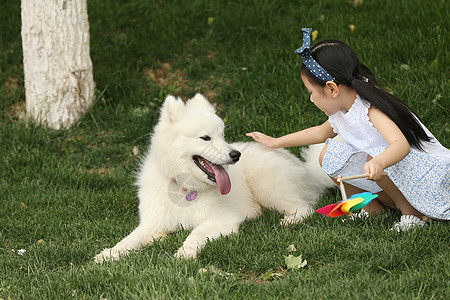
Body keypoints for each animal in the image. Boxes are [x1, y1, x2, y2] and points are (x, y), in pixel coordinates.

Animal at [95, 94, 334, 262]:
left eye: (222, 135)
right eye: (205, 138)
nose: (236, 155)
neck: (186, 188)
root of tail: (306, 170)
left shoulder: (220, 220)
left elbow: (195, 234)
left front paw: (185, 252)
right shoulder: (154, 224)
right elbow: (129, 240)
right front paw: (110, 254)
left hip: (266, 184)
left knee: (304, 207)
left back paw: (289, 220)